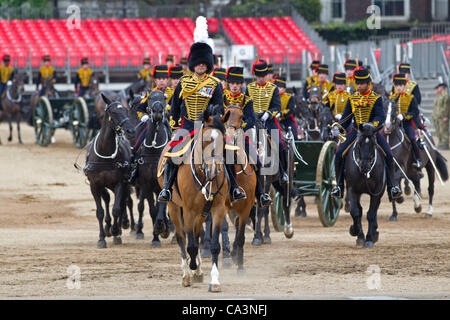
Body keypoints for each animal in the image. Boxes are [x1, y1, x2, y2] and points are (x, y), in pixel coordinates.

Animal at [83, 92, 134, 248]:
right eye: (113, 112)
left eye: (126, 110)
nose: (130, 130)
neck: (105, 153)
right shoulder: (94, 185)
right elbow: (99, 212)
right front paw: (101, 238)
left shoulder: (120, 182)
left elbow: (117, 208)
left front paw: (115, 230)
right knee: (106, 199)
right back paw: (107, 226)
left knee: (122, 202)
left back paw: (118, 227)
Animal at [156, 105, 230, 292]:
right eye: (205, 140)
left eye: (223, 140)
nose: (213, 171)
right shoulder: (188, 211)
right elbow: (190, 245)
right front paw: (191, 268)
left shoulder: (217, 209)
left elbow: (213, 245)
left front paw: (214, 280)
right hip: (174, 207)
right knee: (182, 238)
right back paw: (187, 274)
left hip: (201, 212)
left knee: (196, 235)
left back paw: (197, 271)